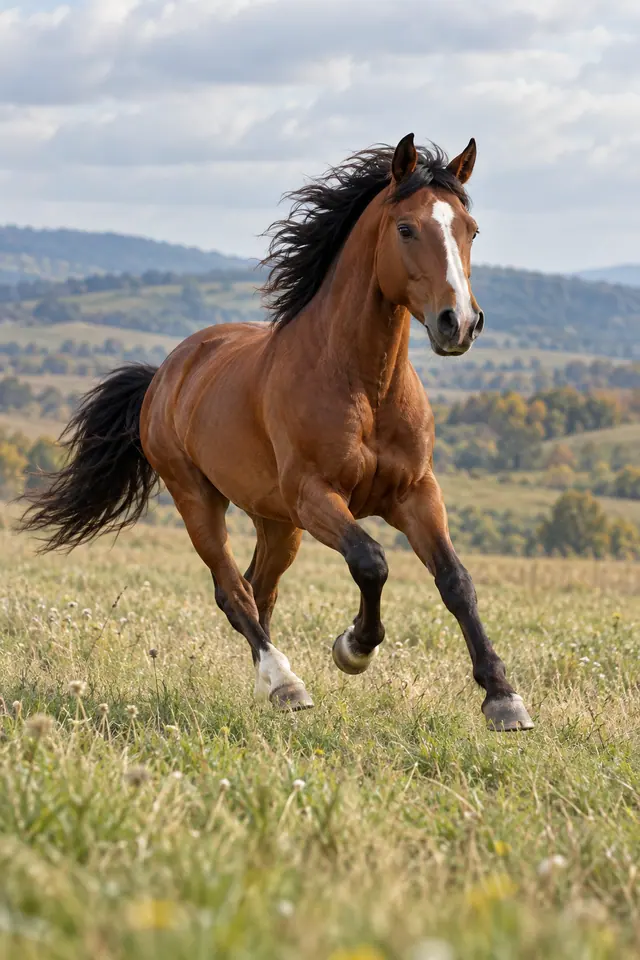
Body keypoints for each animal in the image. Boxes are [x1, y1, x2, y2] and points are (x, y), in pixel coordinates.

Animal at [21, 133, 533, 732]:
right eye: (406, 229)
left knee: (258, 588)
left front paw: (503, 698)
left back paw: (270, 684)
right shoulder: (315, 496)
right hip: (200, 501)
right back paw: (285, 682)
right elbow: (371, 562)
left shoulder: (415, 493)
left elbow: (456, 581)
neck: (364, 385)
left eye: (469, 230)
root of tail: (168, 371)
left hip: (276, 521)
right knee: (233, 590)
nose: (460, 324)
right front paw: (353, 648)